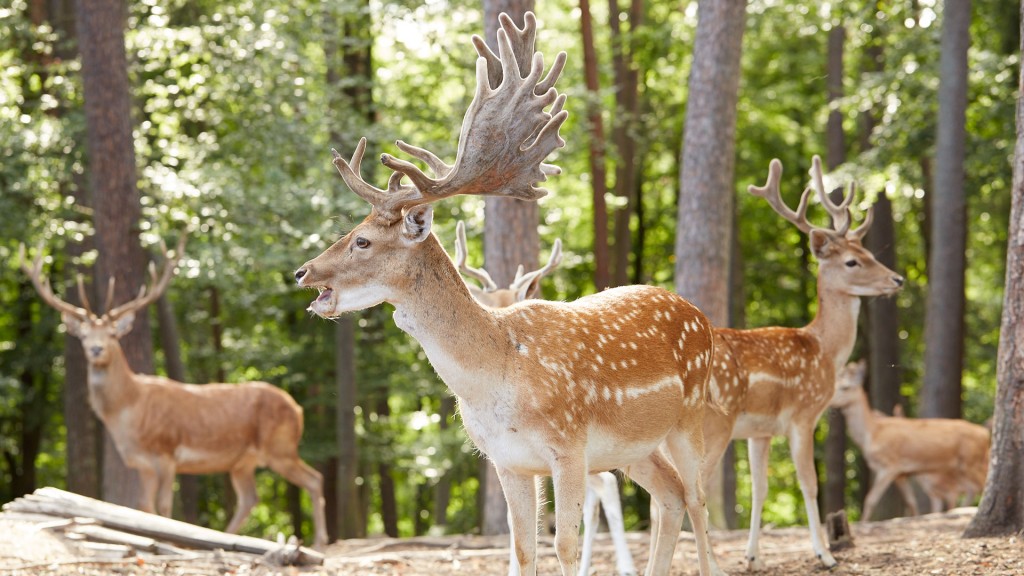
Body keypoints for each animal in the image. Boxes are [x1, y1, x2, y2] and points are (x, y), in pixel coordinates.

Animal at [19, 237, 325, 545]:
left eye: (112, 334)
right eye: (83, 335)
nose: (96, 349)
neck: (128, 412)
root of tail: (297, 408)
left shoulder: (166, 452)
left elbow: (164, 506)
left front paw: (169, 537)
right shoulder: (141, 463)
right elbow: (144, 506)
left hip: (281, 446)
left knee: (314, 479)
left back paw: (319, 541)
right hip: (243, 462)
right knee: (250, 498)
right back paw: (225, 537)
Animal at [296, 13, 729, 573]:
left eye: (363, 240)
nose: (303, 272)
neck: (496, 377)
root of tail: (699, 315)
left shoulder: (569, 446)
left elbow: (564, 546)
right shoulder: (507, 461)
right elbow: (523, 550)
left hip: (690, 416)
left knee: (697, 499)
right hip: (634, 449)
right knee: (671, 497)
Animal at [831, 358, 991, 516]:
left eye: (845, 387)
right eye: (836, 385)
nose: (830, 402)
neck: (872, 433)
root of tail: (984, 433)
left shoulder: (890, 465)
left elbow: (870, 499)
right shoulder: (902, 473)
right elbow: (911, 502)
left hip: (971, 463)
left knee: (981, 485)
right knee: (971, 490)